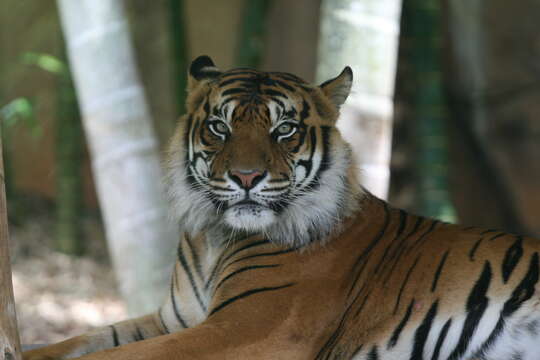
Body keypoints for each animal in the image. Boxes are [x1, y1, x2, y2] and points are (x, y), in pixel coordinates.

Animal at [24, 55, 540, 360]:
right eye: (220, 127)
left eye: (284, 130)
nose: (246, 177)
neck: (215, 237)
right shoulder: (173, 319)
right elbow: (84, 340)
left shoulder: (249, 328)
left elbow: (117, 356)